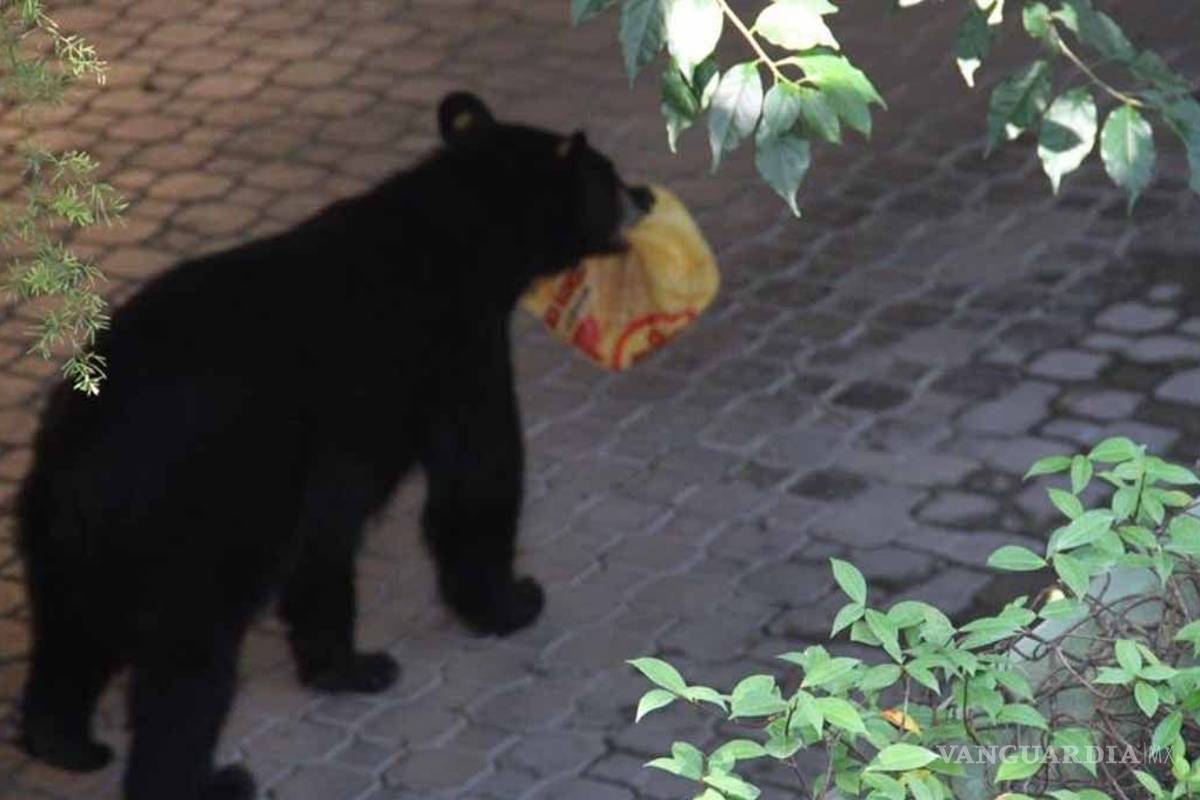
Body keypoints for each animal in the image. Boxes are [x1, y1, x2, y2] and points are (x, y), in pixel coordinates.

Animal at [16, 91, 654, 800]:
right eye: (608, 175)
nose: (645, 195)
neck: (461, 234)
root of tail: (80, 449)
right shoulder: (459, 347)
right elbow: (478, 473)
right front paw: (513, 600)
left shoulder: (329, 463)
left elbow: (325, 546)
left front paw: (347, 665)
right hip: (199, 517)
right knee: (187, 664)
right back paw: (209, 778)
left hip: (69, 541)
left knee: (70, 635)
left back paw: (64, 742)